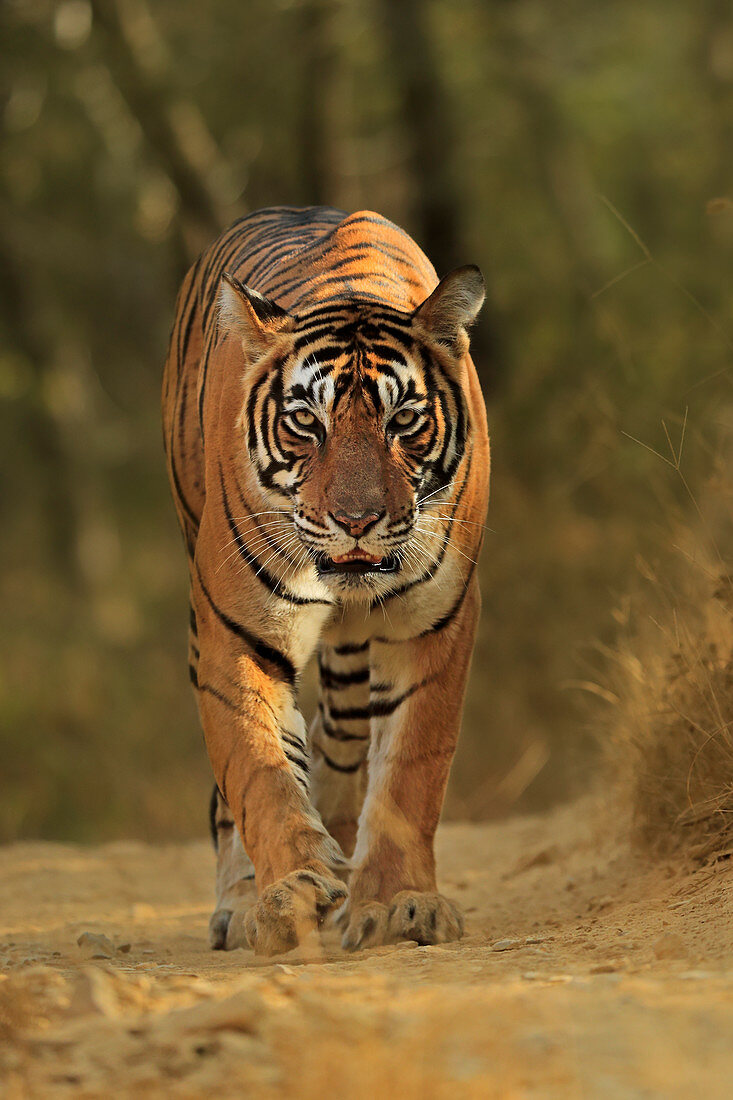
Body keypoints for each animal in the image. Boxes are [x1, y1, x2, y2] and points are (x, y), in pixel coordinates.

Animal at [162, 204, 488, 954]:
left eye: (404, 420)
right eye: (306, 422)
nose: (357, 520)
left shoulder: (434, 622)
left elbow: (410, 770)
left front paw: (398, 902)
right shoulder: (236, 633)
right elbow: (261, 771)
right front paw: (291, 894)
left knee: (341, 730)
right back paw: (241, 904)